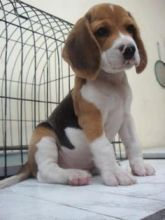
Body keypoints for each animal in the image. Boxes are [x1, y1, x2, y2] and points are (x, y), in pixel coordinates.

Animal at [0, 3, 155, 189]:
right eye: (102, 31)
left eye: (130, 28)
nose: (130, 49)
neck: (110, 81)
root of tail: (28, 164)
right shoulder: (92, 119)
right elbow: (104, 147)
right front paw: (115, 174)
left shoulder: (126, 117)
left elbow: (133, 143)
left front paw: (139, 166)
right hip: (43, 135)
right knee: (45, 172)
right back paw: (73, 175)